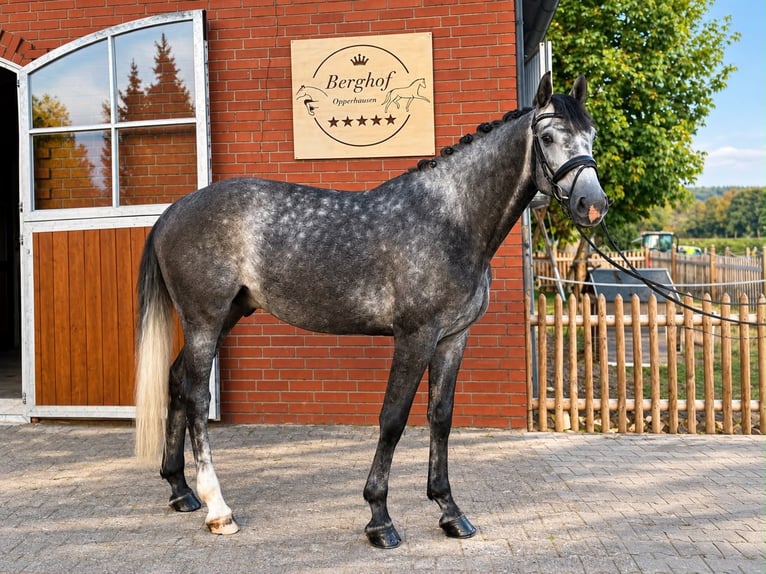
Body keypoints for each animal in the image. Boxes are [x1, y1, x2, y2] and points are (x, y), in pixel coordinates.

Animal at [134, 72, 608, 549]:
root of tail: (172, 212)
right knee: (197, 396)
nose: (592, 205)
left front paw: (450, 512)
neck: (450, 219)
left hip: (225, 316)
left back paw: (180, 490)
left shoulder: (453, 339)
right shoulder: (415, 336)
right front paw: (380, 518)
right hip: (204, 321)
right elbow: (393, 419)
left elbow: (441, 418)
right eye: (547, 137)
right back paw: (217, 508)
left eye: (590, 136)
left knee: (176, 381)